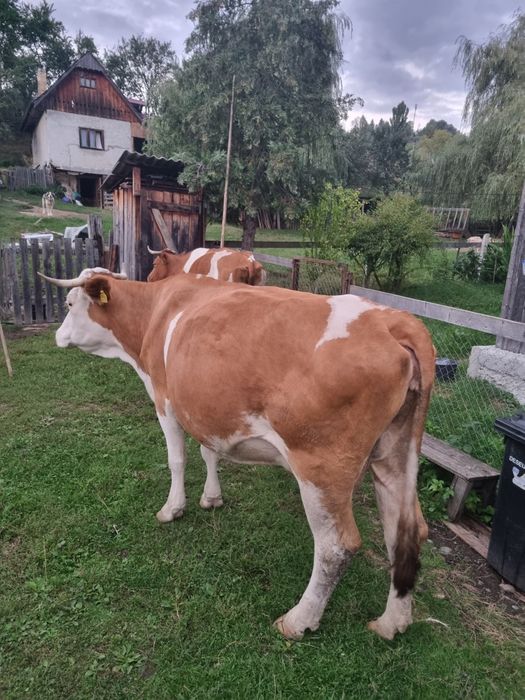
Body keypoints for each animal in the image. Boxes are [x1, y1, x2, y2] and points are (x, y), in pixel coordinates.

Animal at [40, 267, 435, 641]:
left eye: (70, 304)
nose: (56, 336)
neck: (155, 313)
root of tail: (394, 321)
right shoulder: (205, 407)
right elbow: (208, 451)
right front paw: (212, 497)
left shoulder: (166, 399)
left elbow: (177, 460)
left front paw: (172, 509)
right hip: (396, 453)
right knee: (406, 530)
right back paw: (392, 623)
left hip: (321, 467)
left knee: (336, 546)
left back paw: (299, 620)